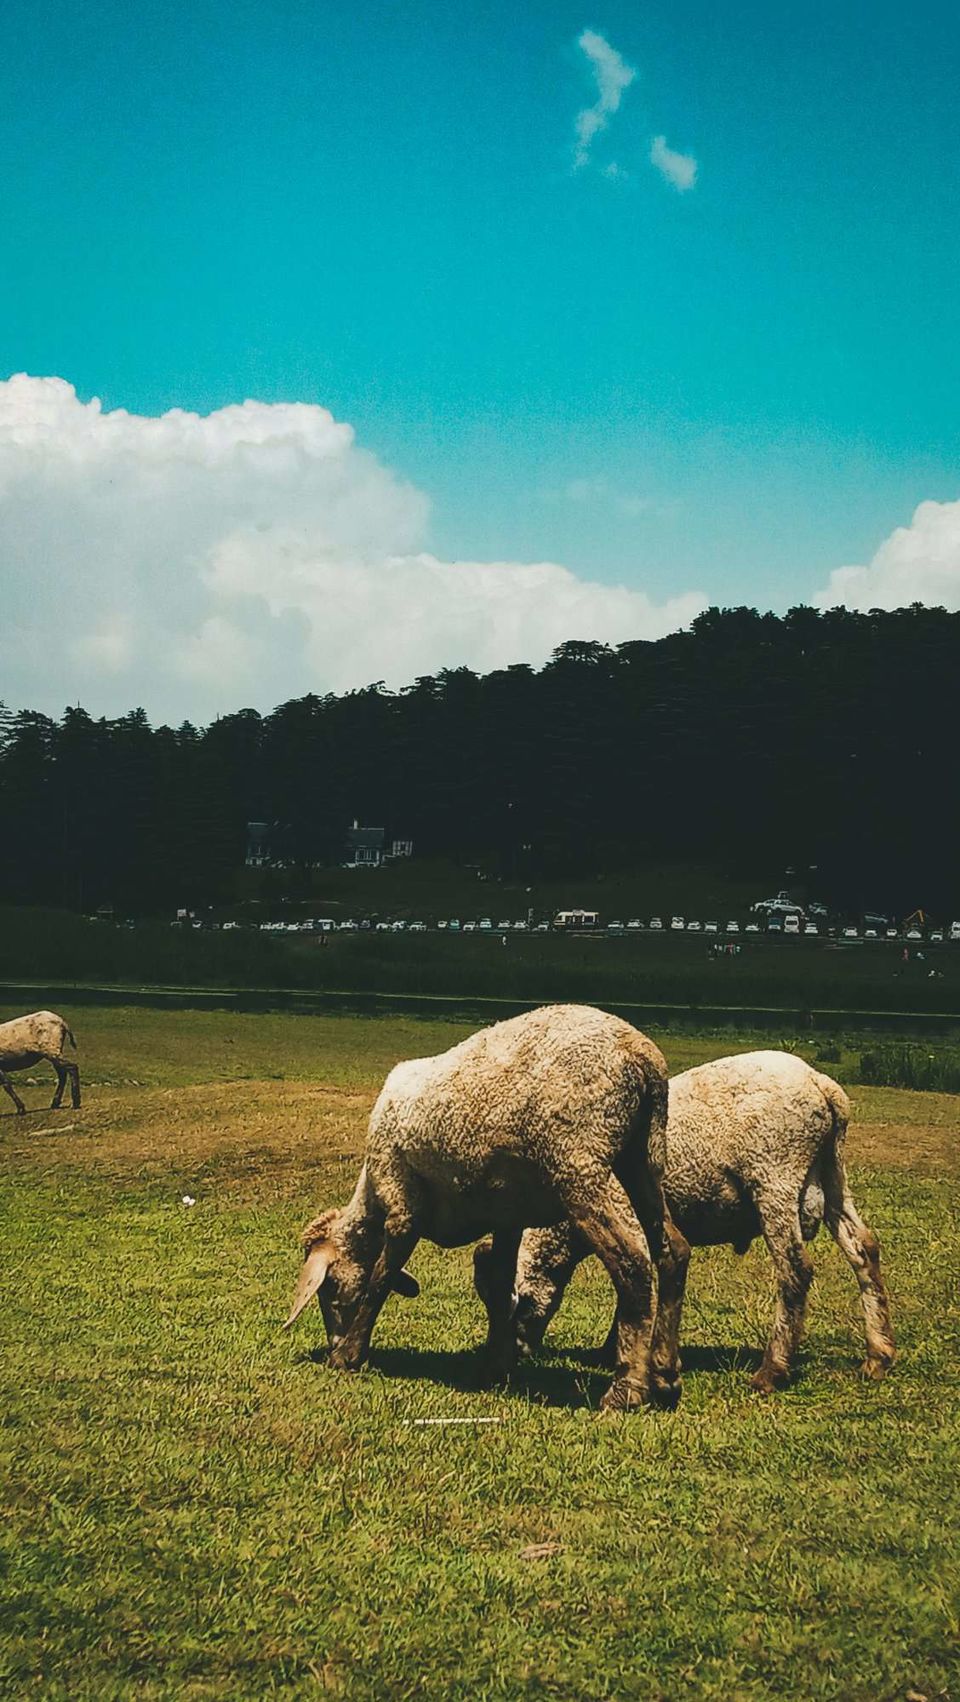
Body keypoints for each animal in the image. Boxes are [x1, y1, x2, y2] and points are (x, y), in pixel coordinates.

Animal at [284, 993, 691, 1409]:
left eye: (329, 1287)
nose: (333, 1340)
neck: (371, 1195)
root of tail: (641, 1058)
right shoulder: (507, 1216)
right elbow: (499, 1284)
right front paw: (496, 1365)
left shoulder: (401, 1202)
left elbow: (379, 1278)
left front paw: (348, 1355)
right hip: (643, 1159)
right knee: (672, 1250)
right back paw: (665, 1376)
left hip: (579, 1166)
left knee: (632, 1264)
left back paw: (627, 1389)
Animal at [480, 1048, 898, 1395]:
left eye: (516, 1305)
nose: (514, 1355)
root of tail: (822, 1085)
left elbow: (634, 1278)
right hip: (832, 1172)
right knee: (864, 1249)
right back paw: (878, 1356)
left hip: (775, 1175)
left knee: (795, 1269)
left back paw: (771, 1372)